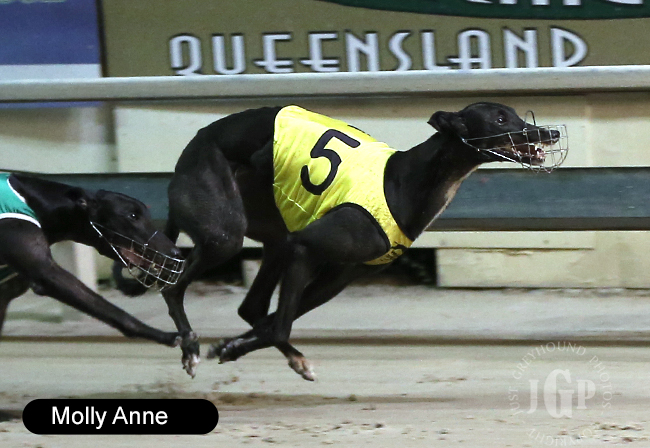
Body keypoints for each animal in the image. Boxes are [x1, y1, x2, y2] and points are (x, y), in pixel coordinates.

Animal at [142, 102, 567, 379]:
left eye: (515, 114)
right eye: (500, 118)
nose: (551, 132)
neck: (405, 180)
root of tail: (190, 149)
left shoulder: (339, 275)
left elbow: (275, 320)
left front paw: (232, 348)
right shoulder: (306, 248)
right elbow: (280, 327)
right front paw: (293, 358)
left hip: (275, 237)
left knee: (252, 307)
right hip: (226, 232)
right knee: (175, 287)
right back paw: (190, 347)